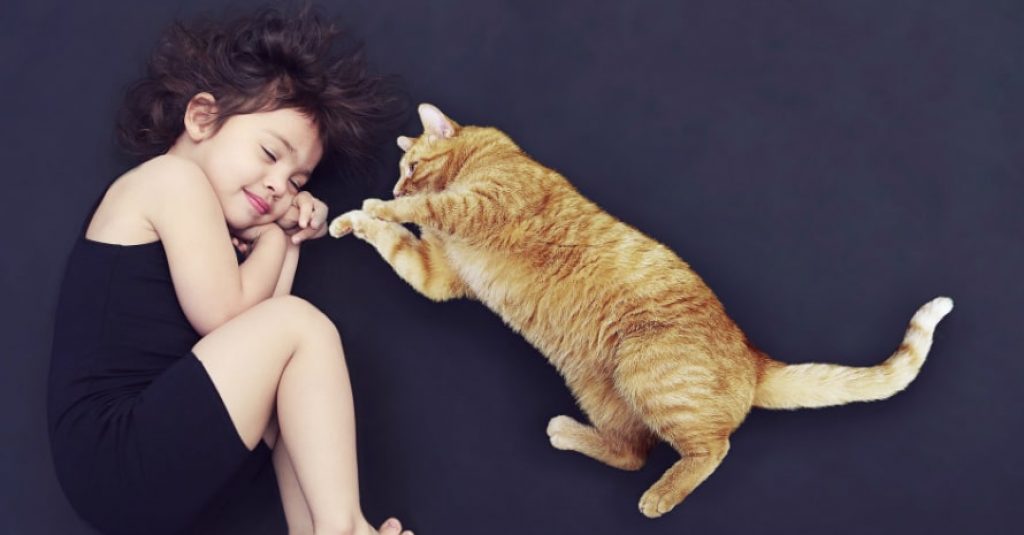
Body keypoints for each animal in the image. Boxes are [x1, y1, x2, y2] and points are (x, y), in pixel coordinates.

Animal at [327, 101, 950, 514]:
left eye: (410, 167)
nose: (394, 182)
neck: (486, 156)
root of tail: (753, 357)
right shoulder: (437, 273)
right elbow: (394, 243)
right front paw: (352, 220)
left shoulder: (481, 205)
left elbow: (427, 208)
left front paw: (379, 205)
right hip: (600, 388)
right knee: (631, 452)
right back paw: (568, 433)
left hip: (645, 369)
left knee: (710, 448)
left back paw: (660, 496)